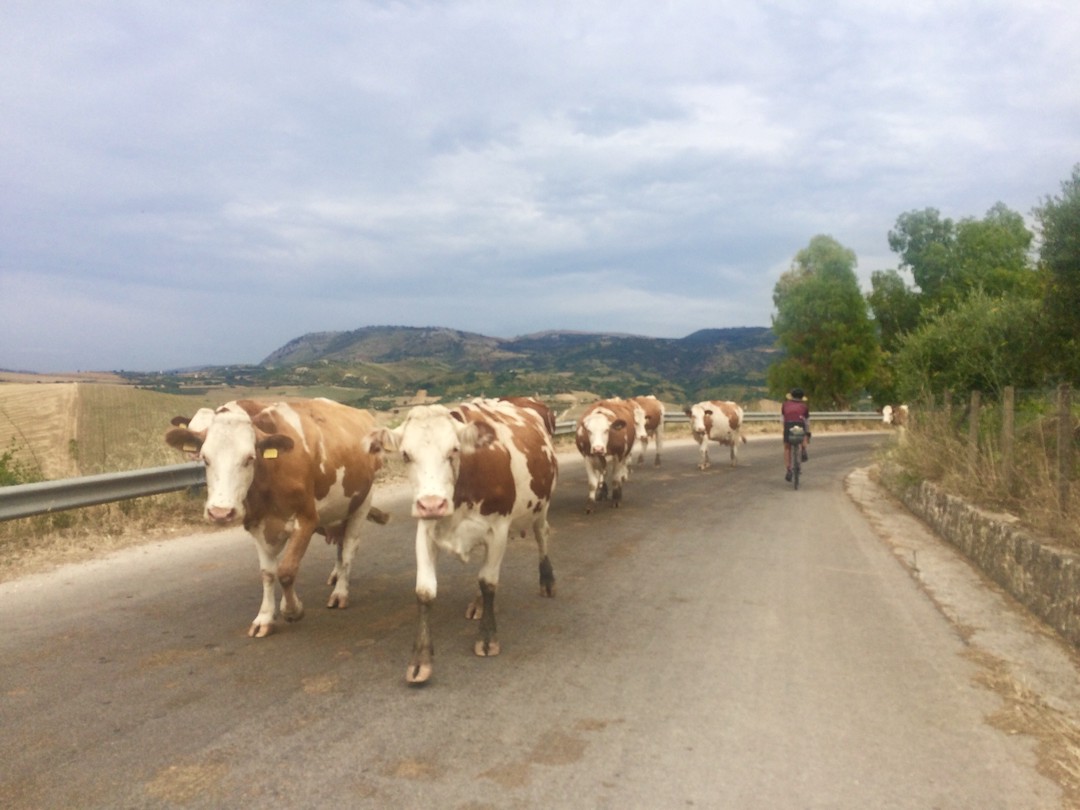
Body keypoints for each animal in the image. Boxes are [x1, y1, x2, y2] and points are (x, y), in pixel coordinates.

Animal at [166, 399, 386, 639]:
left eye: (250, 458)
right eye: (206, 458)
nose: (220, 513)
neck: (270, 473)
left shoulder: (307, 519)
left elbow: (287, 571)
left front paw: (292, 610)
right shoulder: (258, 525)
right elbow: (268, 573)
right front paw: (265, 617)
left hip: (362, 501)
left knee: (349, 548)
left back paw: (340, 592)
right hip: (339, 510)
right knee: (340, 543)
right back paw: (337, 576)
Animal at [367, 397, 561, 686]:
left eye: (454, 450)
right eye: (405, 455)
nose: (432, 504)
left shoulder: (498, 528)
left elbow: (488, 581)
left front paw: (487, 638)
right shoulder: (425, 529)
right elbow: (425, 592)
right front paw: (420, 660)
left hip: (541, 507)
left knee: (541, 535)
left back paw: (547, 581)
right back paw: (478, 603)